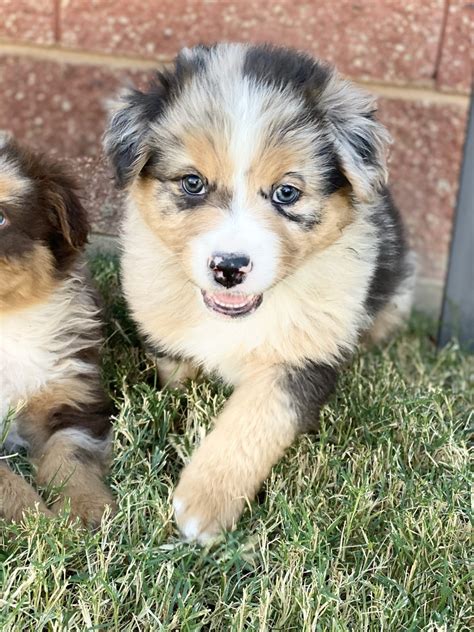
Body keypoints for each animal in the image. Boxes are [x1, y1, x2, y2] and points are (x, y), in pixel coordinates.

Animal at [0, 132, 115, 524]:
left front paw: (89, 511)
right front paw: (32, 516)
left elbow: (71, 455)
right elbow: (4, 481)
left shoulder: (70, 396)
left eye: (0, 218)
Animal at [103, 43, 414, 544]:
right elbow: (176, 379)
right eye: (193, 182)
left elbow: (257, 420)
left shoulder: (305, 358)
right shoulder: (163, 330)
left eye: (287, 192)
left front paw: (203, 507)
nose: (229, 268)